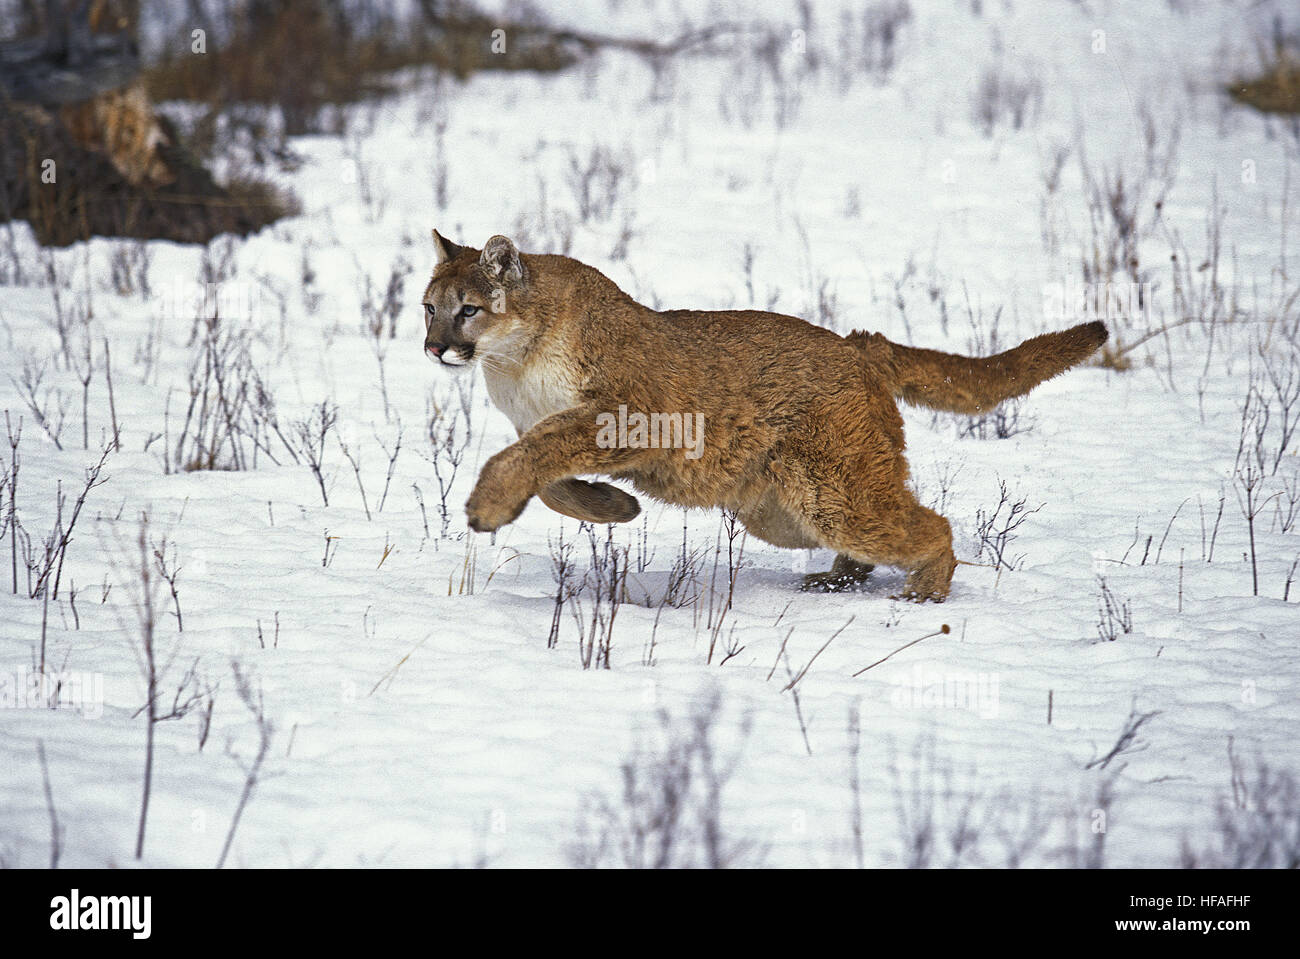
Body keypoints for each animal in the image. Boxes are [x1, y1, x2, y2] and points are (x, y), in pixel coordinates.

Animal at [418, 231, 1107, 597]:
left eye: (469, 309)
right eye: (429, 307)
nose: (434, 348)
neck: (513, 361)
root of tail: (859, 343)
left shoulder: (627, 413)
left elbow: (531, 455)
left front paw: (488, 506)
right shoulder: (547, 426)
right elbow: (551, 479)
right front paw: (615, 507)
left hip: (834, 492)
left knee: (930, 526)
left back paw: (922, 593)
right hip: (777, 510)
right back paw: (837, 581)